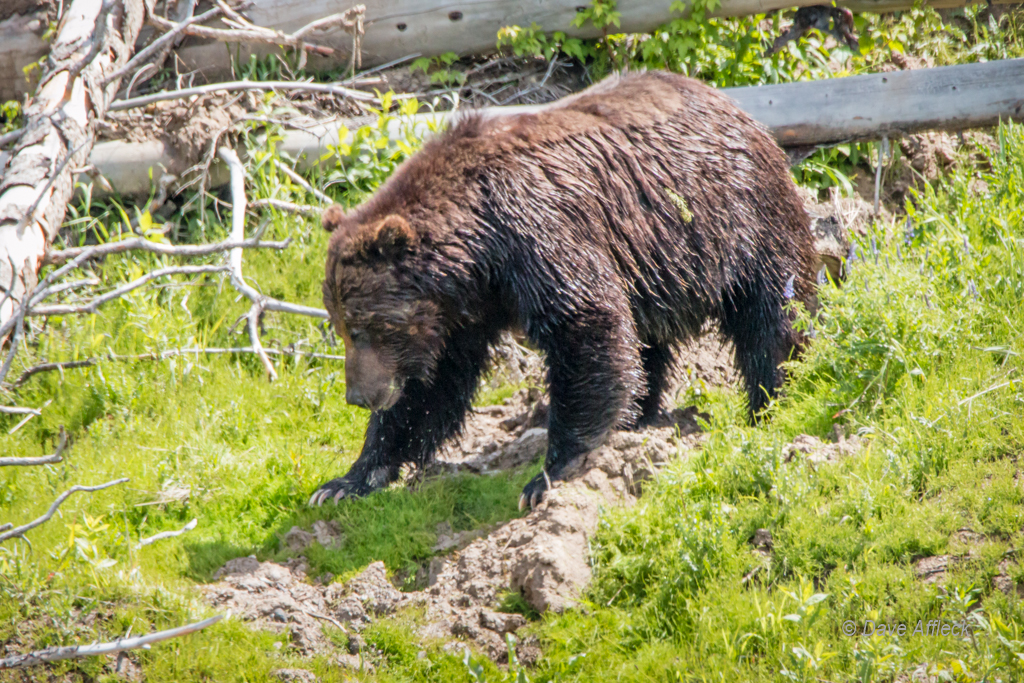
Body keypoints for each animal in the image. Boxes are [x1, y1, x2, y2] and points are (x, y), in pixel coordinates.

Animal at [309, 70, 815, 507]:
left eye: (363, 327)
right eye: (340, 326)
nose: (358, 395)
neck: (480, 252)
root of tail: (738, 108)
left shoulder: (539, 230)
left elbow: (584, 319)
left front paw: (549, 474)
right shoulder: (460, 312)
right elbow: (431, 388)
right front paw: (345, 481)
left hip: (737, 216)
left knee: (773, 313)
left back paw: (770, 401)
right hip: (655, 265)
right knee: (645, 343)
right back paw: (641, 416)